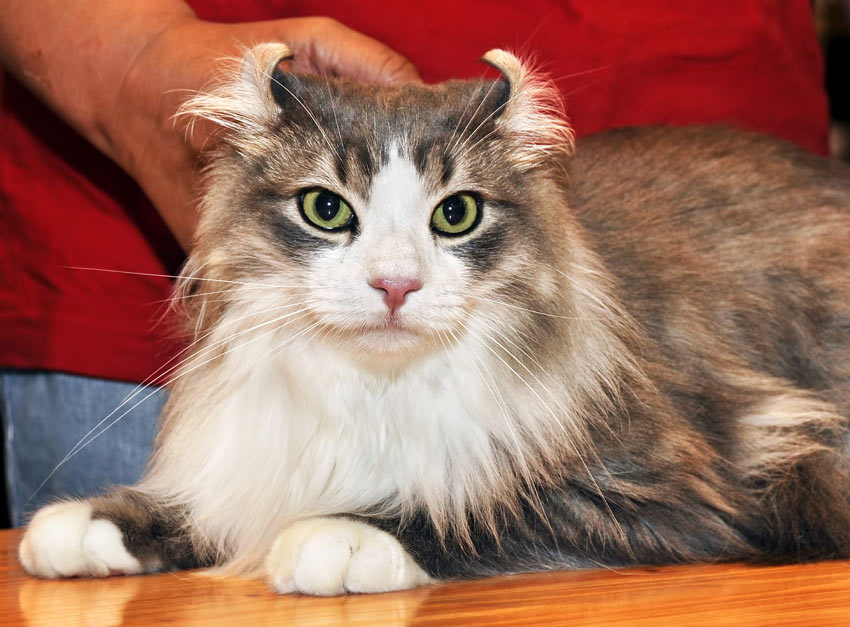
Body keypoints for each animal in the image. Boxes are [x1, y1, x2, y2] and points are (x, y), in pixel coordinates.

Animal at [18, 43, 850, 592]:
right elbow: (208, 502)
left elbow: (473, 509)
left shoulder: (664, 486)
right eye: (326, 209)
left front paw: (336, 533)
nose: (395, 284)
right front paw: (89, 526)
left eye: (456, 214)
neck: (376, 389)